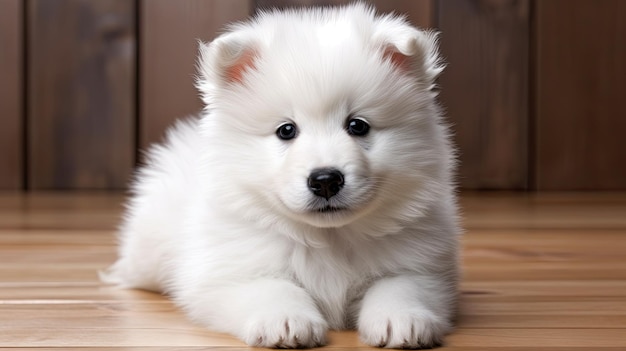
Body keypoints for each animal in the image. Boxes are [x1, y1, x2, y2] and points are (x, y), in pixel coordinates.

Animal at [103, 2, 458, 350]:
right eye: (286, 130)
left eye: (358, 125)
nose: (325, 180)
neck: (329, 238)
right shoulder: (228, 272)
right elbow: (272, 287)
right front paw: (287, 323)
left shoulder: (425, 267)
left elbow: (399, 285)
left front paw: (402, 320)